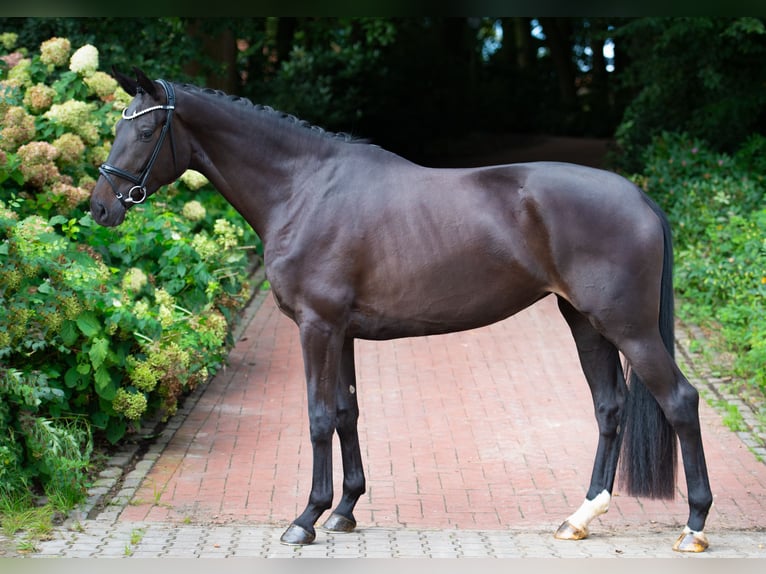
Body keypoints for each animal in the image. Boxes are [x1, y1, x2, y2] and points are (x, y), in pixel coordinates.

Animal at [90, 68, 712, 552]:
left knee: (680, 401)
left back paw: (694, 525)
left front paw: (306, 518)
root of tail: (639, 197)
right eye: (120, 124)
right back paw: (579, 518)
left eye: (144, 129)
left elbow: (318, 417)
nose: (99, 207)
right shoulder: (340, 332)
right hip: (586, 322)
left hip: (629, 329)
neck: (303, 188)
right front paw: (344, 511)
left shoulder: (317, 328)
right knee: (609, 407)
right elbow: (346, 413)